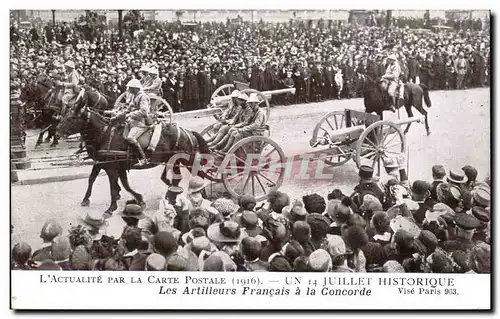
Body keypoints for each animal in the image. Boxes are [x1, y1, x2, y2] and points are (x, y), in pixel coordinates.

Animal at [57, 102, 211, 218]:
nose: (58, 131)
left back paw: (201, 195)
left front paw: (111, 208)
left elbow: (113, 187)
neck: (105, 135)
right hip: (175, 161)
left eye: (71, 118)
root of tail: (188, 132)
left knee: (199, 174)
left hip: (188, 160)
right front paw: (86, 199)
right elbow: (96, 179)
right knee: (177, 179)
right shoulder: (103, 164)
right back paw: (172, 197)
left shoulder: (112, 168)